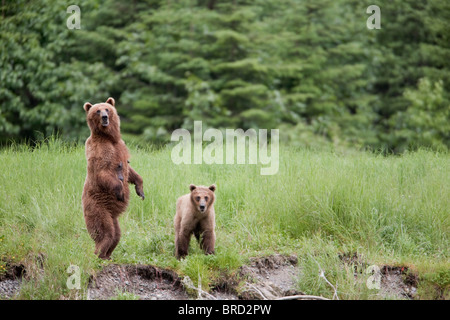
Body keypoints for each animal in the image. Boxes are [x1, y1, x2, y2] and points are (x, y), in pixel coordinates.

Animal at [81, 97, 144, 260]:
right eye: (97, 110)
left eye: (107, 109)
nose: (105, 117)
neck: (109, 137)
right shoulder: (100, 151)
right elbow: (103, 172)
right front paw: (121, 192)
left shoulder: (120, 147)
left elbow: (131, 172)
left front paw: (140, 189)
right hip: (97, 208)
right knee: (105, 232)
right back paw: (99, 255)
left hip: (112, 216)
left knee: (116, 234)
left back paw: (108, 255)